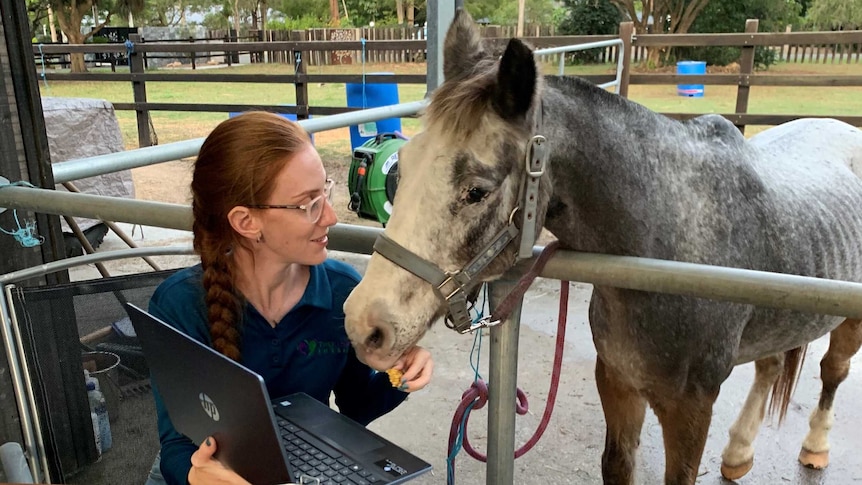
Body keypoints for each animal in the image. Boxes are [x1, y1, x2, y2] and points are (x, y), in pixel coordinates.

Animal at [342, 8, 862, 484]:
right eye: (403, 164)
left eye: (476, 190)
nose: (364, 324)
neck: (666, 245)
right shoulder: (617, 381)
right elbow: (617, 464)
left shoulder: (690, 405)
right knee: (771, 364)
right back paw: (738, 453)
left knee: (832, 372)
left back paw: (815, 446)